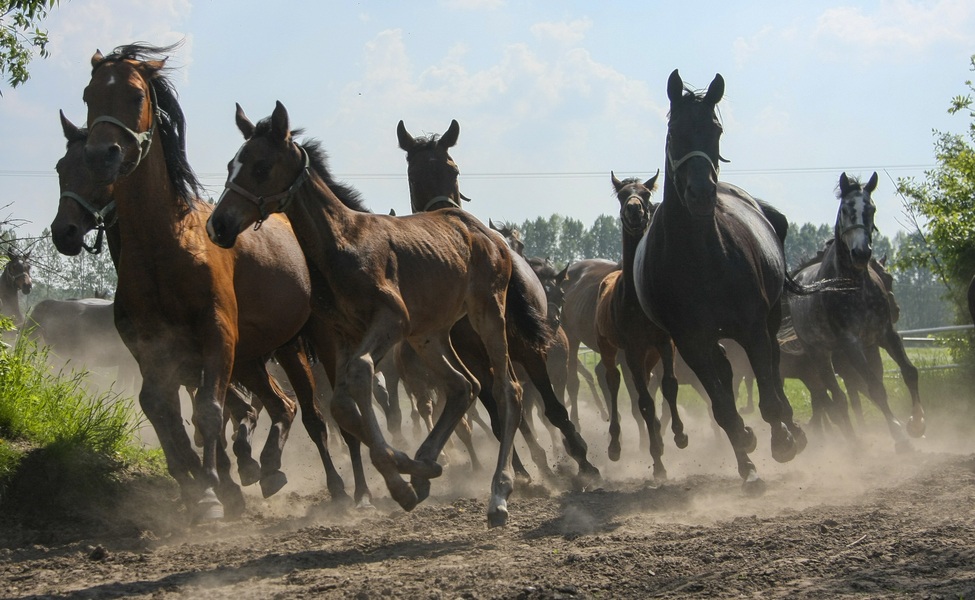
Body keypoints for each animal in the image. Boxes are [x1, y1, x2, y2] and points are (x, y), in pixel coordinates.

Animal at [68, 44, 366, 516]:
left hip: (310, 342)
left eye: (136, 95)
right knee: (281, 405)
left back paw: (348, 489)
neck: (163, 245)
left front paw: (211, 490)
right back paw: (270, 468)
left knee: (322, 415)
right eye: (88, 95)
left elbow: (208, 411)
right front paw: (198, 485)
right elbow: (162, 410)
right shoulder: (155, 349)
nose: (101, 156)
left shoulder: (217, 334)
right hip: (256, 354)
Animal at [206, 104, 536, 528]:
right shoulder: (344, 335)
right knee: (463, 386)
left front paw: (399, 480)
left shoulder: (392, 320)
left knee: (506, 389)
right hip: (429, 334)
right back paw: (426, 464)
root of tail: (486, 233)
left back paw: (499, 493)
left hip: (487, 313)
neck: (342, 243)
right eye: (232, 164)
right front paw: (410, 470)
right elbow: (341, 404)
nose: (218, 224)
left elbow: (360, 378)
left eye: (261, 167)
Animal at [398, 118, 604, 488]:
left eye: (453, 169)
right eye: (413, 174)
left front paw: (582, 460)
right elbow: (499, 412)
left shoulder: (528, 349)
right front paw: (523, 470)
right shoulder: (473, 357)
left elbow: (553, 407)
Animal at [596, 171, 688, 480]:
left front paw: (679, 435)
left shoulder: (664, 343)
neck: (636, 299)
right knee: (613, 381)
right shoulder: (633, 350)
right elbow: (644, 401)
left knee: (646, 384)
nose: (634, 210)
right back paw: (615, 446)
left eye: (646, 194)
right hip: (607, 346)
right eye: (623, 195)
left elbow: (669, 385)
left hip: (650, 355)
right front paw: (658, 460)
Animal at [632, 69, 808, 492]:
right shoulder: (691, 341)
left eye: (715, 130)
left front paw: (782, 441)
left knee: (773, 367)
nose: (701, 193)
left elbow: (768, 393)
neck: (699, 256)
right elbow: (723, 407)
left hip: (769, 319)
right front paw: (747, 460)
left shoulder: (752, 327)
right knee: (727, 374)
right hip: (712, 338)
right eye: (674, 130)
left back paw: (791, 429)